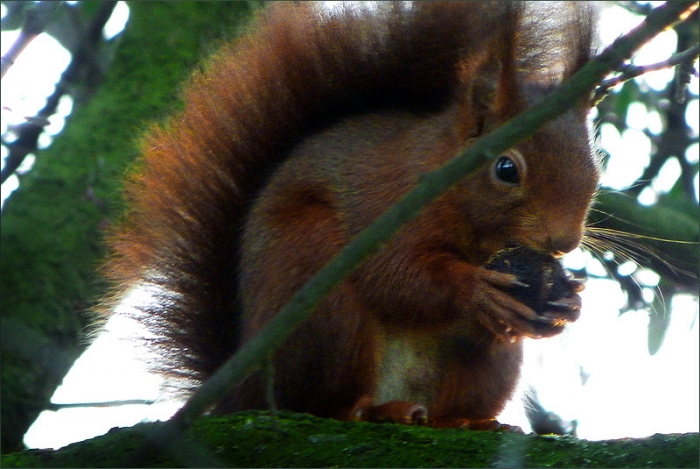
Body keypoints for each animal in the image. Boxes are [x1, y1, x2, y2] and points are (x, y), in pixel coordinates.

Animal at [102, 2, 600, 428]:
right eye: (506, 169)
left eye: (594, 167)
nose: (564, 242)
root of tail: (242, 392)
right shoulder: (386, 205)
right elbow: (392, 275)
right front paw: (477, 291)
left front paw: (569, 301)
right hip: (315, 288)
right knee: (320, 399)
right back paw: (370, 411)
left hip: (486, 372)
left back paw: (464, 420)